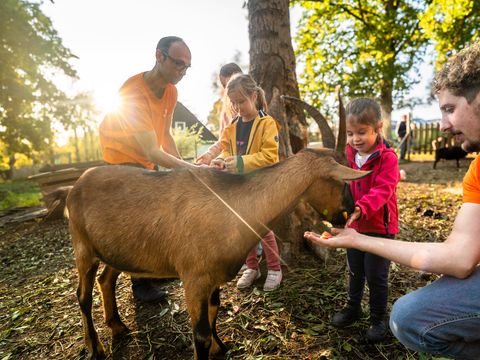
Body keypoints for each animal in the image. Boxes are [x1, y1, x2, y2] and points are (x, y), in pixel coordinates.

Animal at [52, 148, 366, 358]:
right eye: (343, 182)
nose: (351, 212)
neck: (232, 206)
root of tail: (74, 186)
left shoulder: (213, 276)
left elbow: (214, 310)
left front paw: (220, 347)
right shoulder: (194, 278)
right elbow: (200, 333)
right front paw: (212, 346)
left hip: (114, 250)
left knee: (106, 280)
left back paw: (117, 326)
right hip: (82, 247)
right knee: (82, 295)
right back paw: (95, 347)